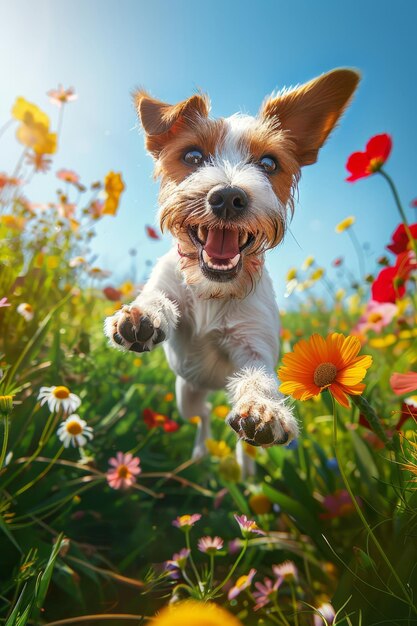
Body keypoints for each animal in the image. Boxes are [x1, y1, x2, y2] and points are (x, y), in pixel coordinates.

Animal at [104, 68, 358, 468]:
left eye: (268, 164)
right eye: (193, 156)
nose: (227, 197)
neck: (215, 288)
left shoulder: (253, 346)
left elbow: (257, 379)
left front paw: (264, 410)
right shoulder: (168, 286)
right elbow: (160, 298)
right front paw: (143, 314)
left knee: (233, 432)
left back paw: (244, 465)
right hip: (185, 395)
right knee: (204, 415)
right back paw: (199, 452)